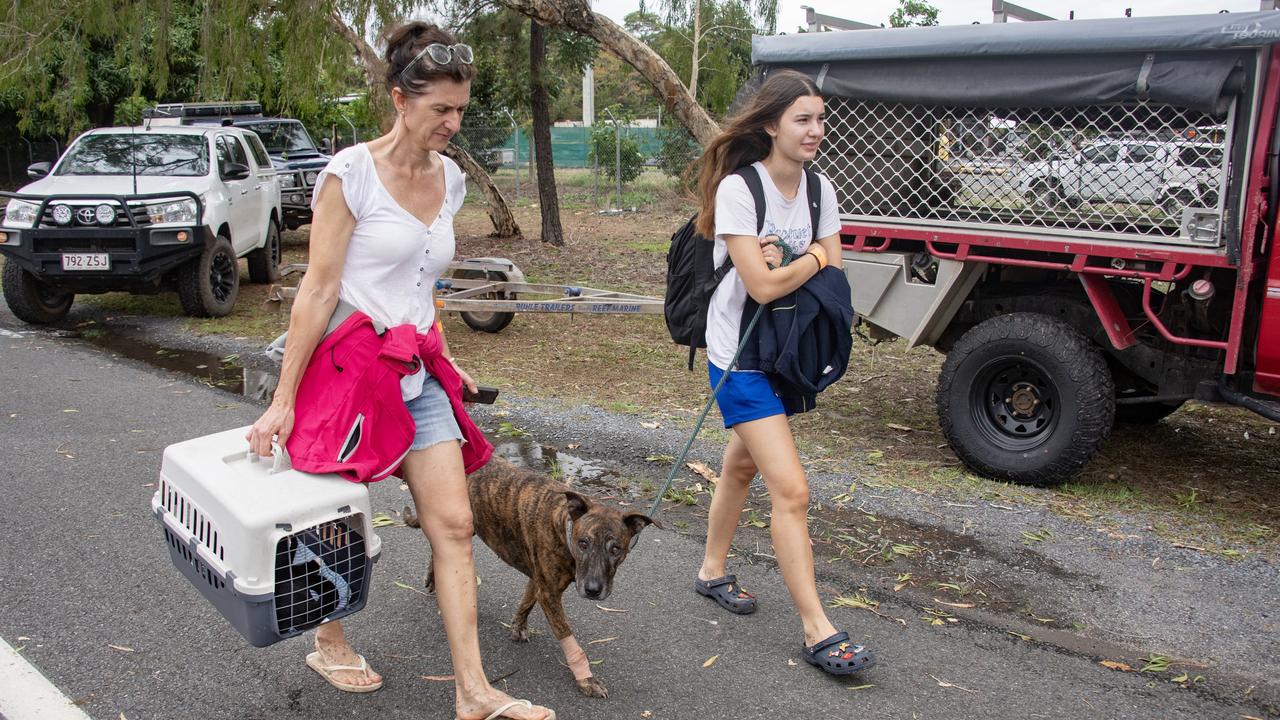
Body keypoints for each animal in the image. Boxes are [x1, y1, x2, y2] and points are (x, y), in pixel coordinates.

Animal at [404, 453, 655, 696]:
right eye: (583, 543)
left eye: (616, 549)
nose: (593, 590)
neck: (563, 524)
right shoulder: (549, 594)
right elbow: (566, 634)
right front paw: (585, 679)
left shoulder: (538, 581)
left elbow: (526, 602)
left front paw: (518, 626)